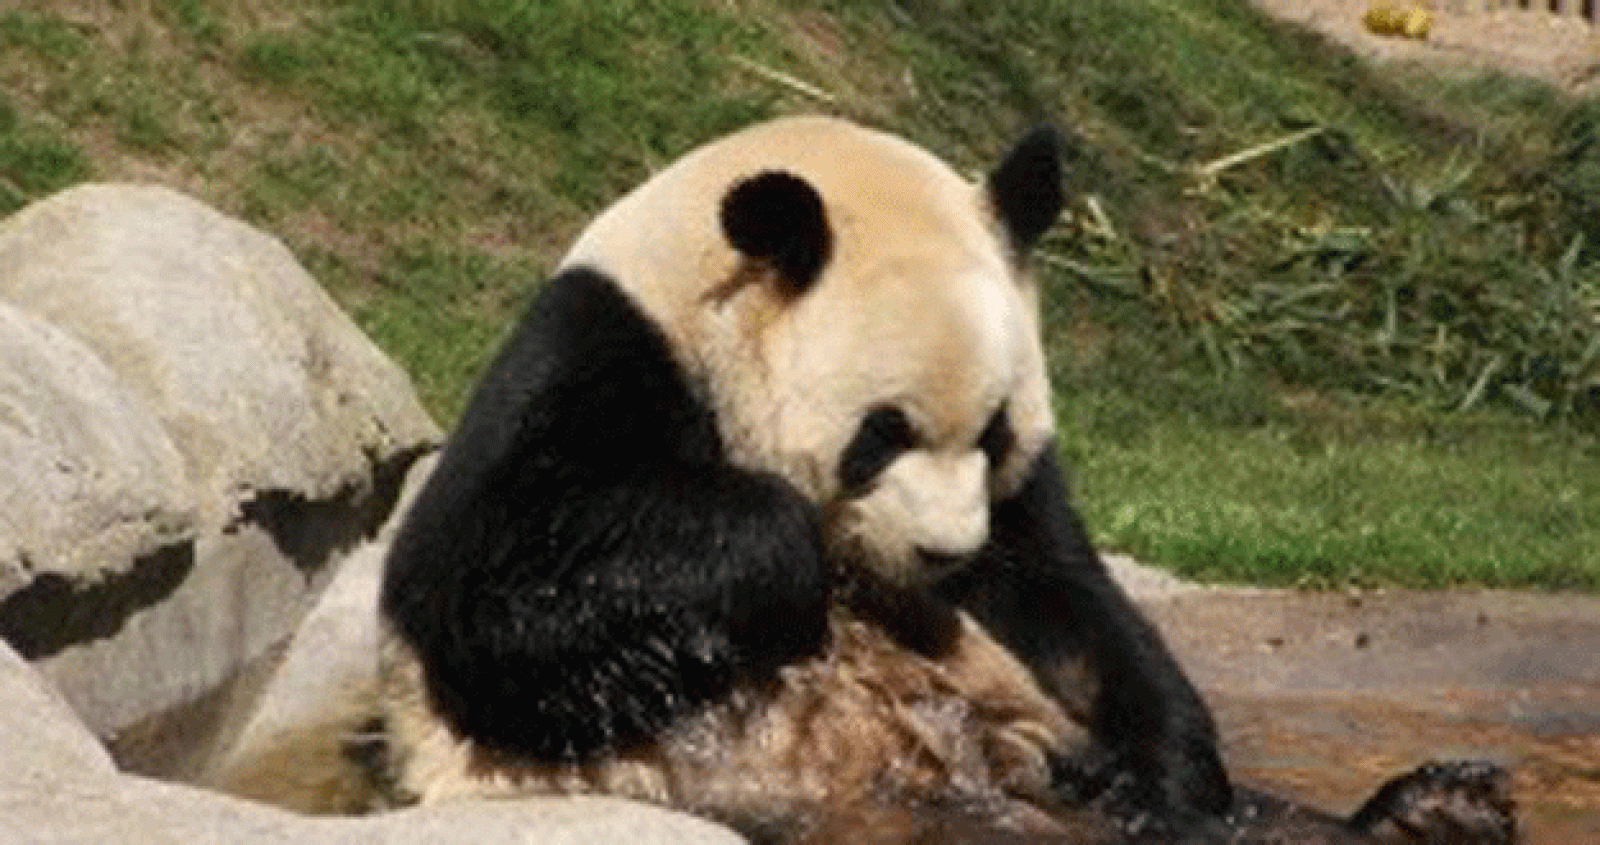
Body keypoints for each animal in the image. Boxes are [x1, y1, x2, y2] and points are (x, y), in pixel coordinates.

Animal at [252, 116, 1515, 843]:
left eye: (994, 431)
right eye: (881, 433)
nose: (945, 554)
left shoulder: (1021, 511)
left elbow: (1068, 604)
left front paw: (1171, 771)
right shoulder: (598, 362)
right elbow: (497, 592)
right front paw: (782, 558)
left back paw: (1433, 808)